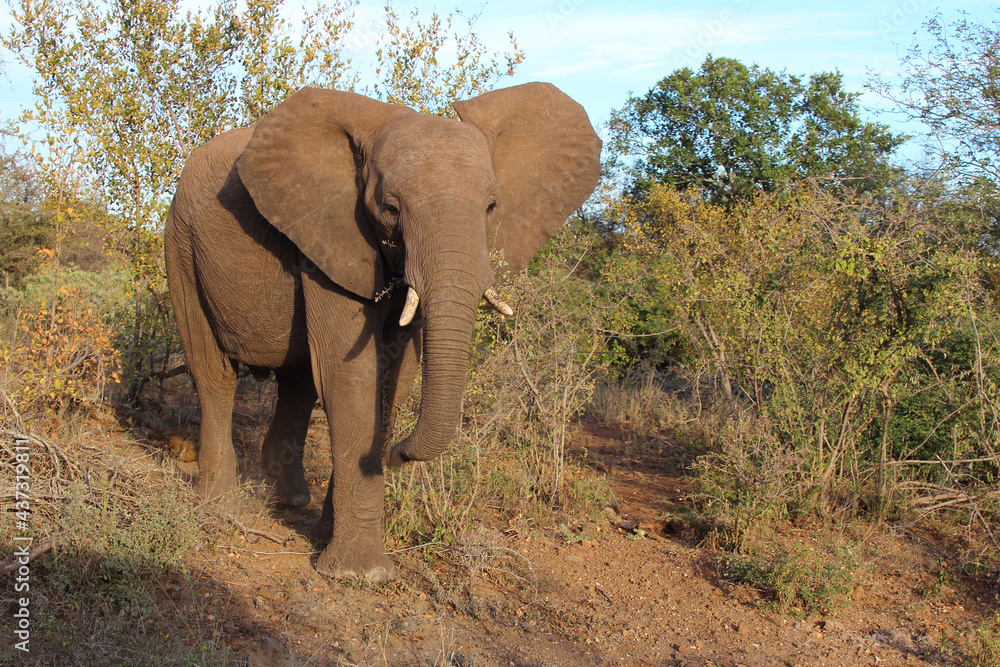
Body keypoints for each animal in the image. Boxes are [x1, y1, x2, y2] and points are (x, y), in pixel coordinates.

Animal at [164, 82, 602, 582]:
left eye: (491, 207)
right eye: (390, 208)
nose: (397, 454)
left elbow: (397, 376)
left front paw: (332, 536)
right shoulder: (331, 235)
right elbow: (351, 375)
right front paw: (361, 574)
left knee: (298, 383)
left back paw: (289, 501)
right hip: (180, 242)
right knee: (213, 372)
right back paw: (222, 506)